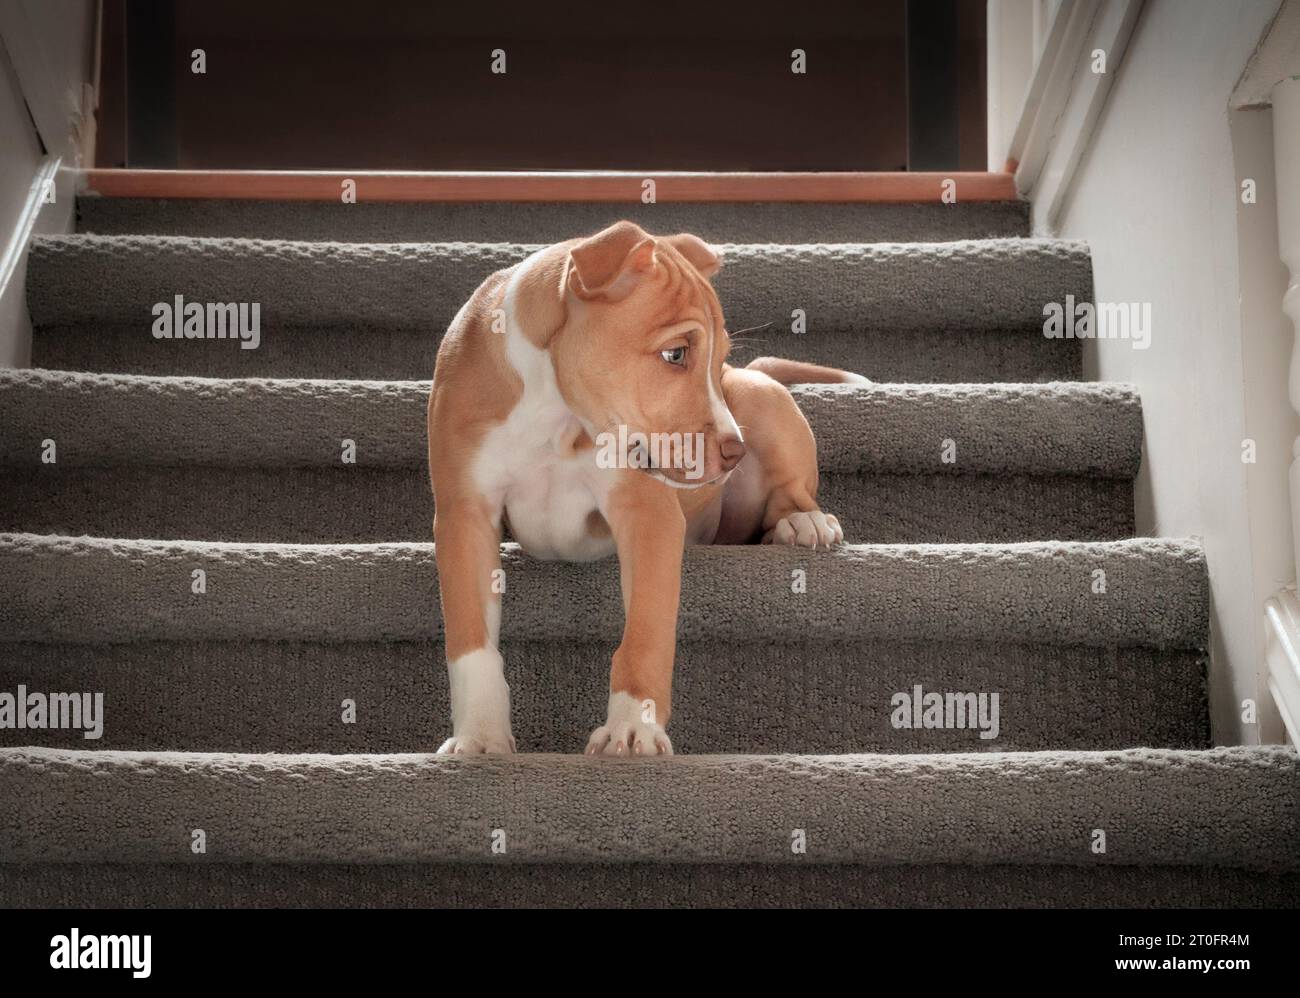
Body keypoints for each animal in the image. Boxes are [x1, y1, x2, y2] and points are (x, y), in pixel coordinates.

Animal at [431, 222, 868, 758]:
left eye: (718, 357)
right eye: (675, 354)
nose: (735, 452)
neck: (556, 413)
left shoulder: (647, 514)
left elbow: (645, 634)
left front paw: (631, 727)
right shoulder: (465, 514)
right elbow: (470, 641)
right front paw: (479, 736)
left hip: (759, 397)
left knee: (791, 489)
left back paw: (802, 521)